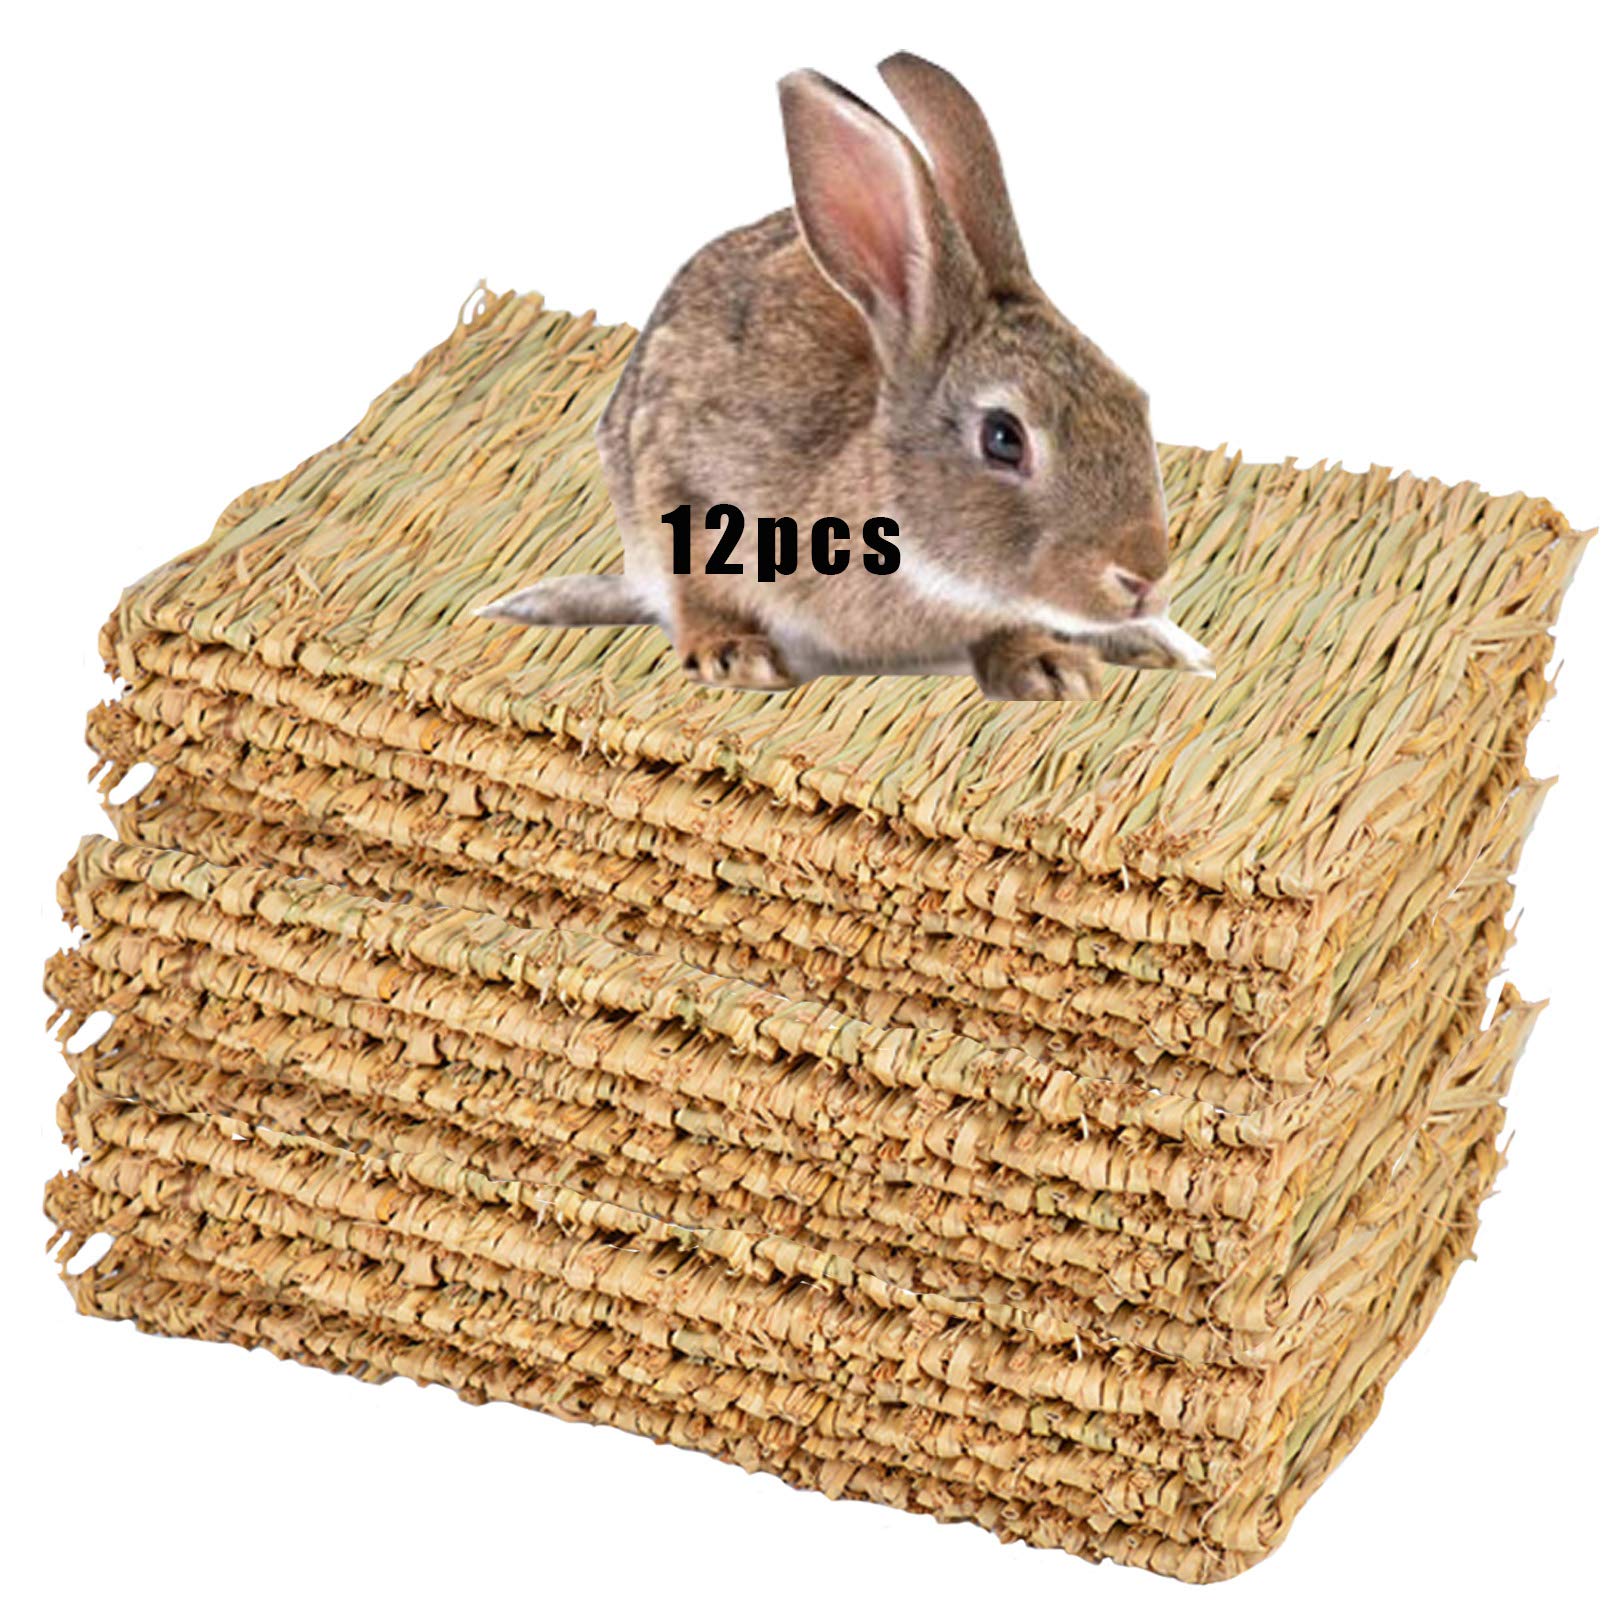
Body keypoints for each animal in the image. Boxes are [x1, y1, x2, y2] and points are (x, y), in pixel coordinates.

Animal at [480, 52, 1212, 700]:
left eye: (1136, 401)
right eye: (1005, 438)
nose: (1144, 579)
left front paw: (1048, 666)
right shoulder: (680, 490)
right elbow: (698, 598)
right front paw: (733, 657)